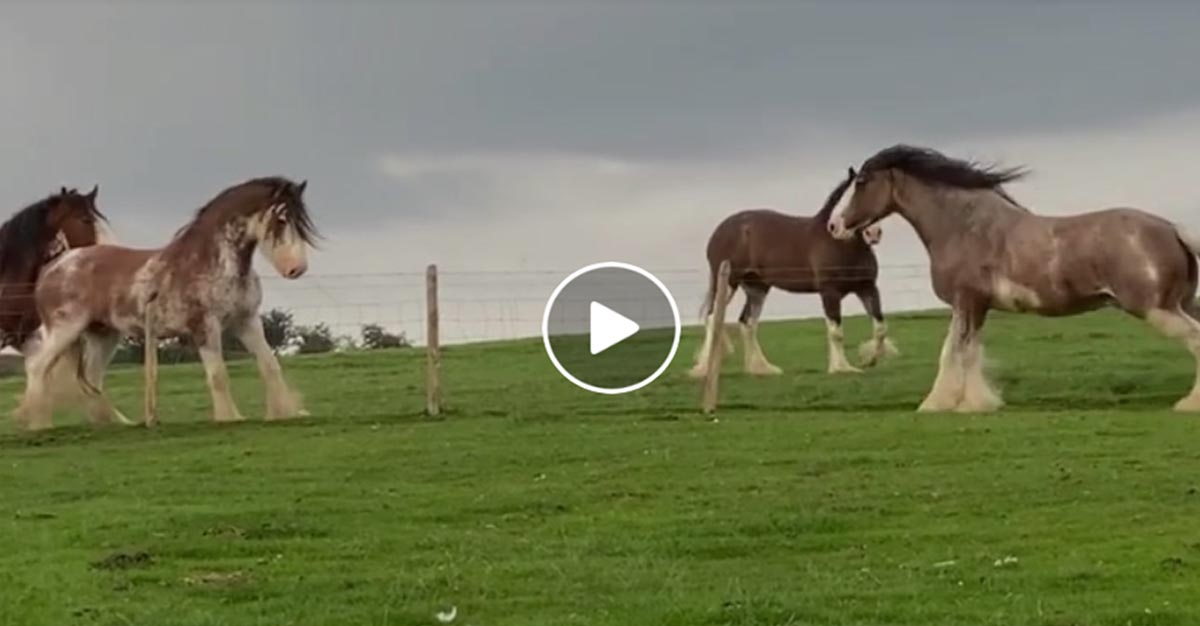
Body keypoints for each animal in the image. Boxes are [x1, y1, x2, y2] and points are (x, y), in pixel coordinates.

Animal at [16, 175, 316, 429]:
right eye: (281, 219)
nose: (297, 269)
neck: (212, 261)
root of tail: (52, 268)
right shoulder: (204, 327)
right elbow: (218, 375)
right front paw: (229, 418)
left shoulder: (247, 322)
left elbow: (270, 367)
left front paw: (285, 413)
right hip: (65, 331)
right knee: (38, 368)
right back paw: (39, 424)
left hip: (104, 336)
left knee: (90, 380)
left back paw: (113, 423)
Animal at [691, 165, 897, 376]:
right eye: (851, 199)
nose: (873, 233)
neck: (840, 242)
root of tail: (719, 231)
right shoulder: (829, 292)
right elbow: (836, 332)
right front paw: (841, 368)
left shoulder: (867, 288)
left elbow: (880, 328)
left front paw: (869, 359)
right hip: (729, 282)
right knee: (713, 318)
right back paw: (705, 369)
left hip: (757, 288)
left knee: (748, 322)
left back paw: (762, 369)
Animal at [830, 143, 1200, 412]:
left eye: (860, 182)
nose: (834, 226)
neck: (964, 226)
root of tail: (1172, 228)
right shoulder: (972, 306)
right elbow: (960, 352)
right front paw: (963, 403)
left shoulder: (967, 301)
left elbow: (958, 352)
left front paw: (949, 405)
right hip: (1182, 304)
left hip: (1156, 309)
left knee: (1196, 339)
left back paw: (1188, 405)